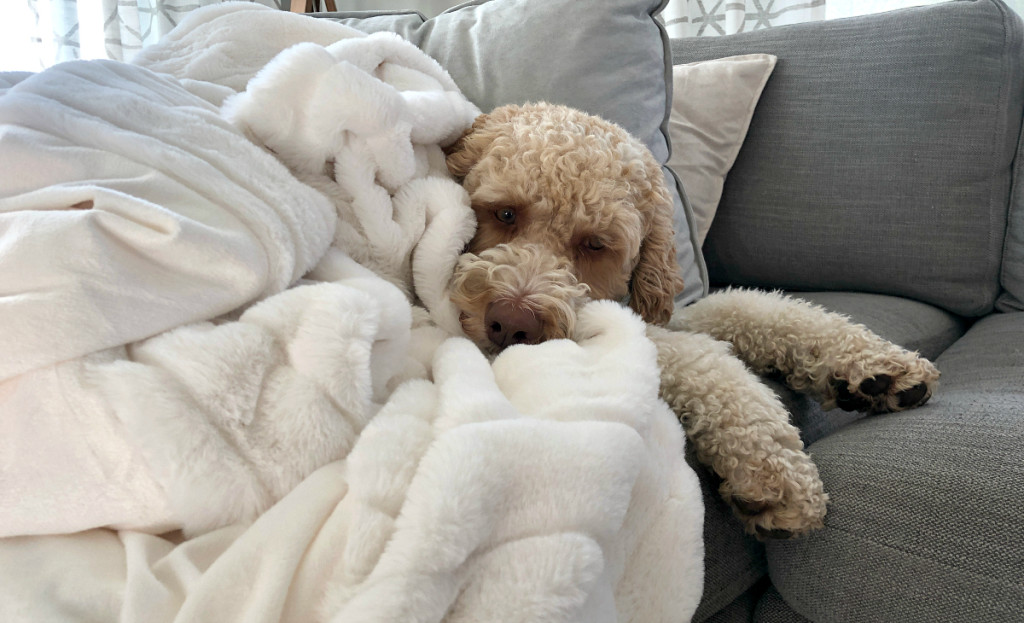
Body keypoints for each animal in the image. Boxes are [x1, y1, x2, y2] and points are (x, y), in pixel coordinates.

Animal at [444, 103, 937, 541]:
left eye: (595, 244)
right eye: (505, 213)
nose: (511, 325)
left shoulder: (661, 313)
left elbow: (750, 307)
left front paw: (873, 367)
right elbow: (703, 360)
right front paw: (771, 468)